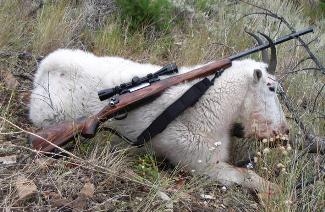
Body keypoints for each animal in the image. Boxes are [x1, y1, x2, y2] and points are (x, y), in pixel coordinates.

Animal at [29, 35, 288, 196]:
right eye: (271, 87)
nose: (283, 131)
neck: (208, 102)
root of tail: (44, 69)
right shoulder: (201, 164)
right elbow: (248, 175)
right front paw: (276, 192)